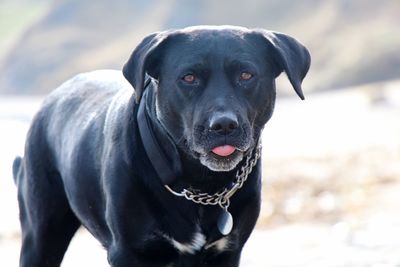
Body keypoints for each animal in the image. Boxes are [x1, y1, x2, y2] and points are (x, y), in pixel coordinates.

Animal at [12, 25, 310, 267]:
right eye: (189, 78)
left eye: (246, 75)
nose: (224, 125)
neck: (200, 184)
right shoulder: (128, 252)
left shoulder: (228, 252)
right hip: (41, 236)